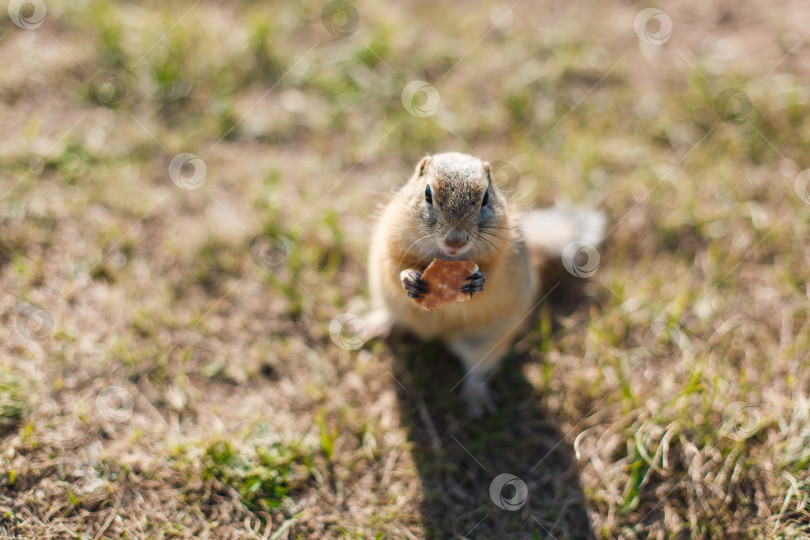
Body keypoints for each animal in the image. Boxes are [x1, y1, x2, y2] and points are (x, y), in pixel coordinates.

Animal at [364, 152, 600, 418]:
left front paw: (478, 281)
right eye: (427, 193)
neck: (448, 258)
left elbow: (493, 276)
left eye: (485, 197)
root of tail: (437, 335)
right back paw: (373, 325)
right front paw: (409, 278)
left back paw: (477, 402)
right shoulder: (390, 240)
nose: (455, 241)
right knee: (393, 316)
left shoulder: (505, 254)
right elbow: (395, 267)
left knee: (477, 372)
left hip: (485, 341)